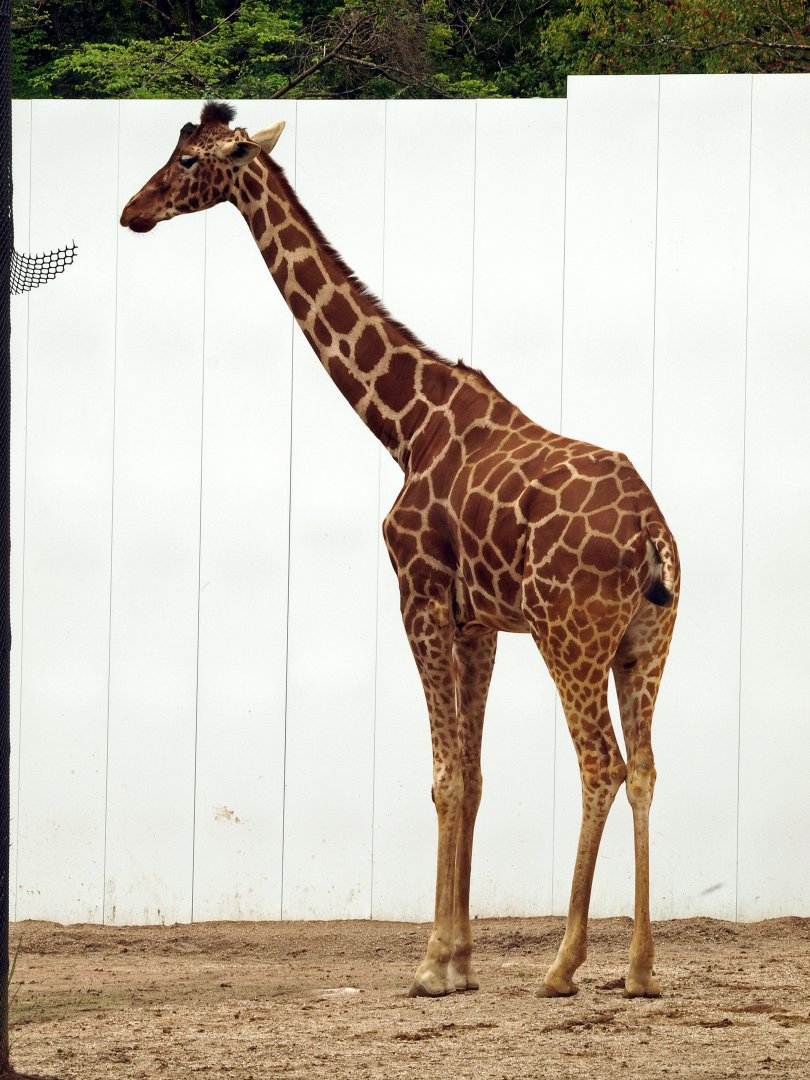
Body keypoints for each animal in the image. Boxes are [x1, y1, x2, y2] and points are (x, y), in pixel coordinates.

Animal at [121, 102, 679, 1000]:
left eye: (188, 160)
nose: (131, 211)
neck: (404, 426)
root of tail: (651, 534)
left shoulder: (416, 589)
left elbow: (444, 776)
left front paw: (432, 966)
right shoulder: (479, 621)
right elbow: (474, 776)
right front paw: (461, 958)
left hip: (572, 637)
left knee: (603, 766)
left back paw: (564, 965)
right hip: (646, 644)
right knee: (650, 769)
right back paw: (638, 970)